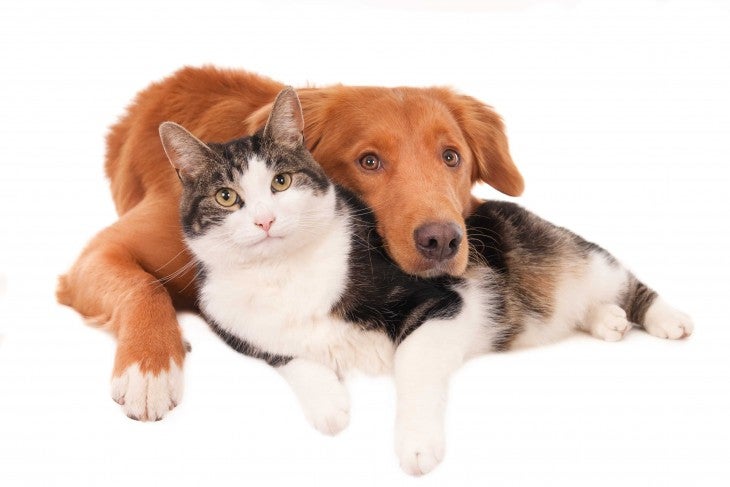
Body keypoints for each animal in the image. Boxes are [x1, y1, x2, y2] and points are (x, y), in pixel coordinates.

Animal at [57, 65, 524, 422]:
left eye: (451, 157)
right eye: (369, 161)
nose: (442, 240)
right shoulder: (97, 255)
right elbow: (144, 286)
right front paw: (149, 369)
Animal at [156, 86, 692, 476]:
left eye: (281, 182)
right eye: (227, 197)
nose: (265, 220)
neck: (283, 274)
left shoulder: (445, 302)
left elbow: (412, 365)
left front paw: (417, 445)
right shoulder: (237, 330)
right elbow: (293, 359)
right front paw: (331, 406)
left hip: (585, 259)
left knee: (631, 283)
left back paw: (668, 319)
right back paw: (608, 322)